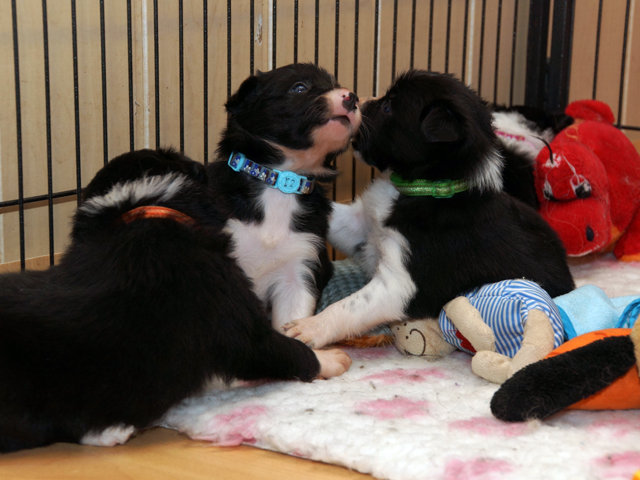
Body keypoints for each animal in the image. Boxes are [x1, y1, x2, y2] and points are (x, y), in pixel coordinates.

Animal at [207, 63, 361, 331]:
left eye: (335, 85)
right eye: (299, 87)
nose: (351, 97)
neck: (281, 183)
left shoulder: (299, 268)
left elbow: (292, 322)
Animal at [284, 70, 575, 349]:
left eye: (389, 106)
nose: (356, 100)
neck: (426, 188)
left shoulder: (399, 284)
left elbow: (350, 306)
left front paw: (309, 328)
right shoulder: (362, 227)